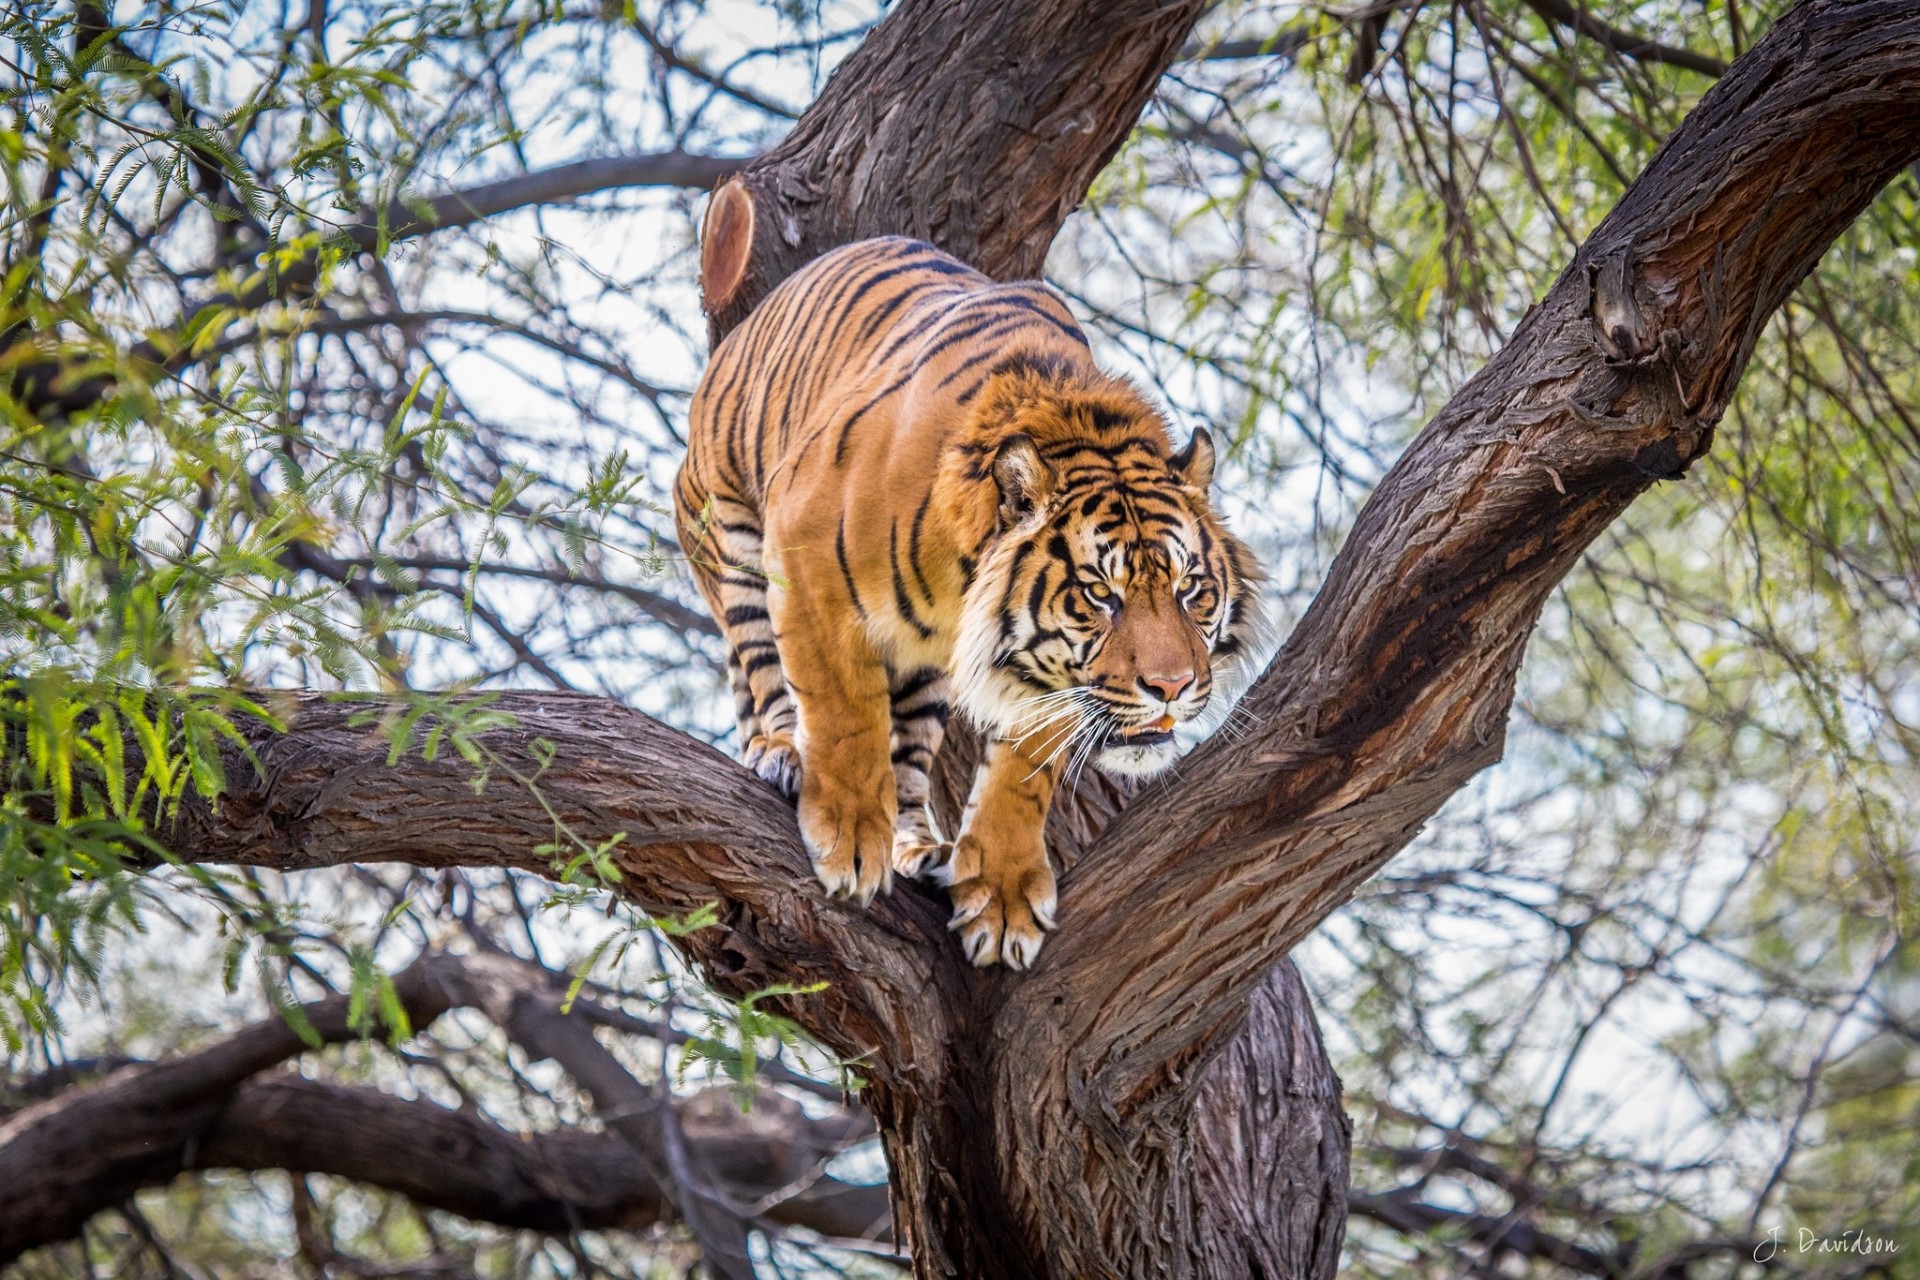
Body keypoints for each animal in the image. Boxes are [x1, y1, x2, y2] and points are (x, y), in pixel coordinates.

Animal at [674, 235, 1265, 969]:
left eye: (1190, 590)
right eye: (1100, 594)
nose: (1173, 687)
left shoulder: (1047, 678)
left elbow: (1021, 773)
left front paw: (1003, 897)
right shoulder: (805, 558)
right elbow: (843, 712)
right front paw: (849, 837)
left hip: (925, 671)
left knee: (907, 760)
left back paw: (919, 846)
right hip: (729, 531)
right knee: (761, 671)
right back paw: (784, 754)